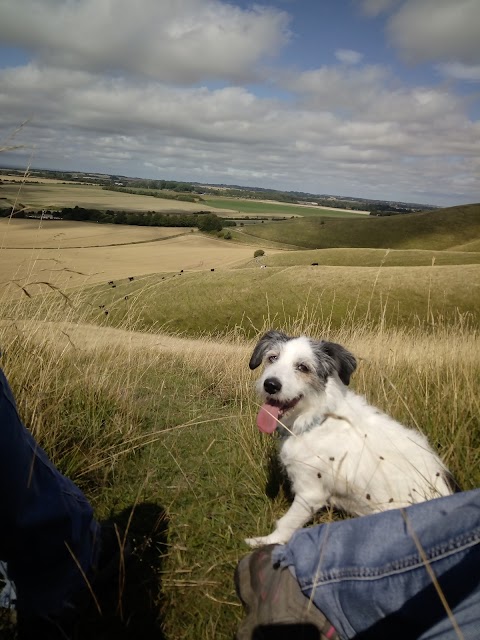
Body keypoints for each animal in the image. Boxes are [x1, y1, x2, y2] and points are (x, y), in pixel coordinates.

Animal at [246, 332, 456, 548]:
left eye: (303, 367)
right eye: (272, 358)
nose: (270, 385)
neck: (318, 419)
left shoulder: (310, 492)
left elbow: (286, 524)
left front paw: (264, 542)